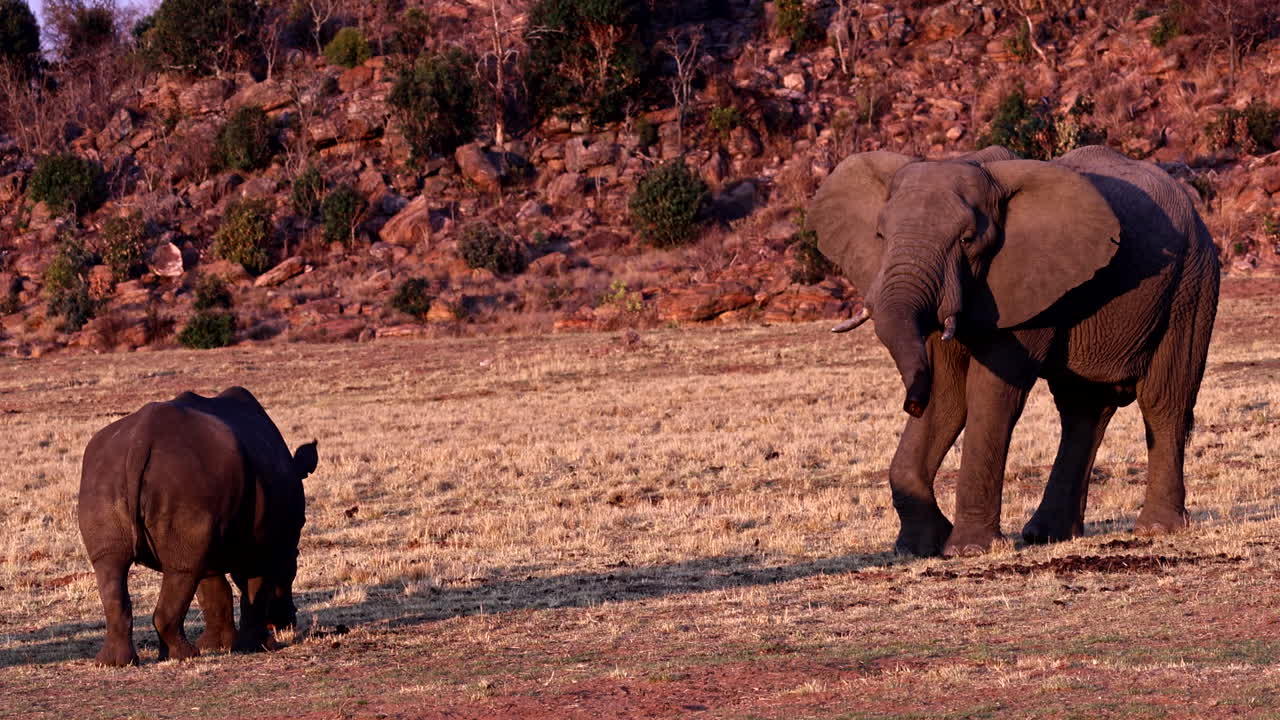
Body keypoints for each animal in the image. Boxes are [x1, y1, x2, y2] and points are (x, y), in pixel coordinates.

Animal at [78, 386, 318, 666]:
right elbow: (254, 590)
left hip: (105, 475)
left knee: (113, 564)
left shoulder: (212, 535)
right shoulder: (268, 544)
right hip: (186, 479)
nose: (285, 622)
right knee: (182, 571)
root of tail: (140, 440)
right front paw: (259, 647)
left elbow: (213, 591)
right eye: (295, 563)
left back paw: (115, 662)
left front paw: (217, 645)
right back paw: (186, 655)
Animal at [809, 144, 1219, 557]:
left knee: (1163, 401)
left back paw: (1156, 529)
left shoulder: (1025, 284)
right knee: (1082, 408)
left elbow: (990, 394)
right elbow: (947, 396)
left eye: (967, 241)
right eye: (880, 235)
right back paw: (1048, 534)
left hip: (1191, 286)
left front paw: (970, 550)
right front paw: (918, 546)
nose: (911, 404)